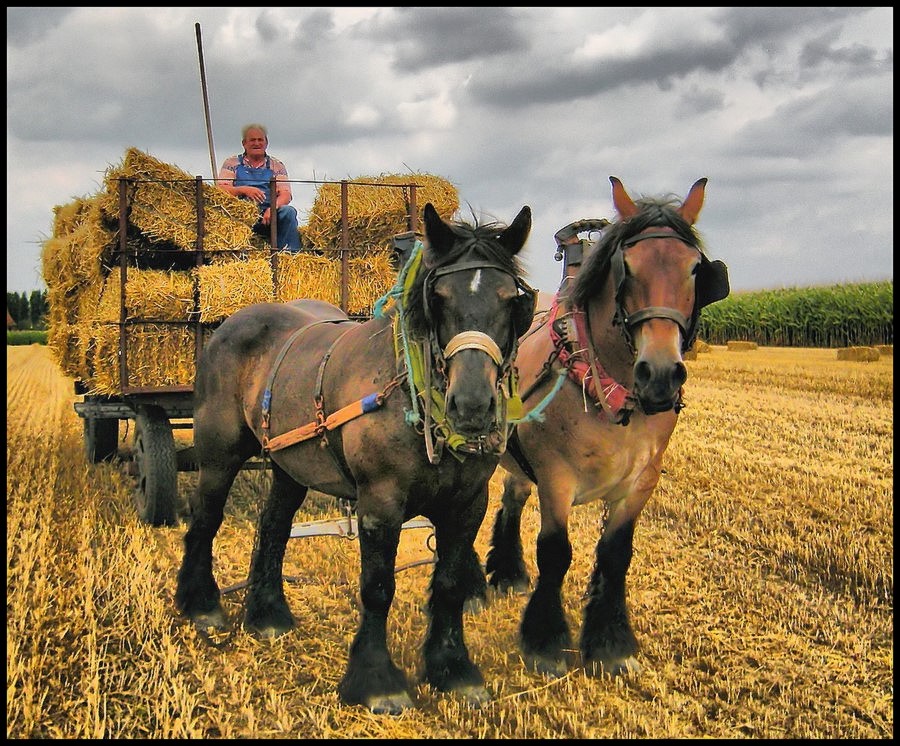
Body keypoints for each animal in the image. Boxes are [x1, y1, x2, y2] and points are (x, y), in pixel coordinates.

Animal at [176, 201, 536, 712]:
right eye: (439, 297)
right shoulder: (380, 502)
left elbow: (448, 585)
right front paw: (376, 680)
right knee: (206, 518)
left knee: (274, 525)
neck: (411, 391)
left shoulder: (468, 503)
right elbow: (378, 587)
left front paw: (453, 670)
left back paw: (267, 614)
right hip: (219, 451)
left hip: (290, 462)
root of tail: (235, 319)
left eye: (511, 301)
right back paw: (202, 605)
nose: (471, 405)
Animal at [486, 177, 732, 676]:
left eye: (696, 270)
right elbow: (556, 553)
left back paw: (508, 573)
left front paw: (610, 642)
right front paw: (544, 641)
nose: (660, 374)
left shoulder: (642, 481)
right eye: (627, 268)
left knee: (512, 496)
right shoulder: (556, 478)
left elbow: (616, 555)